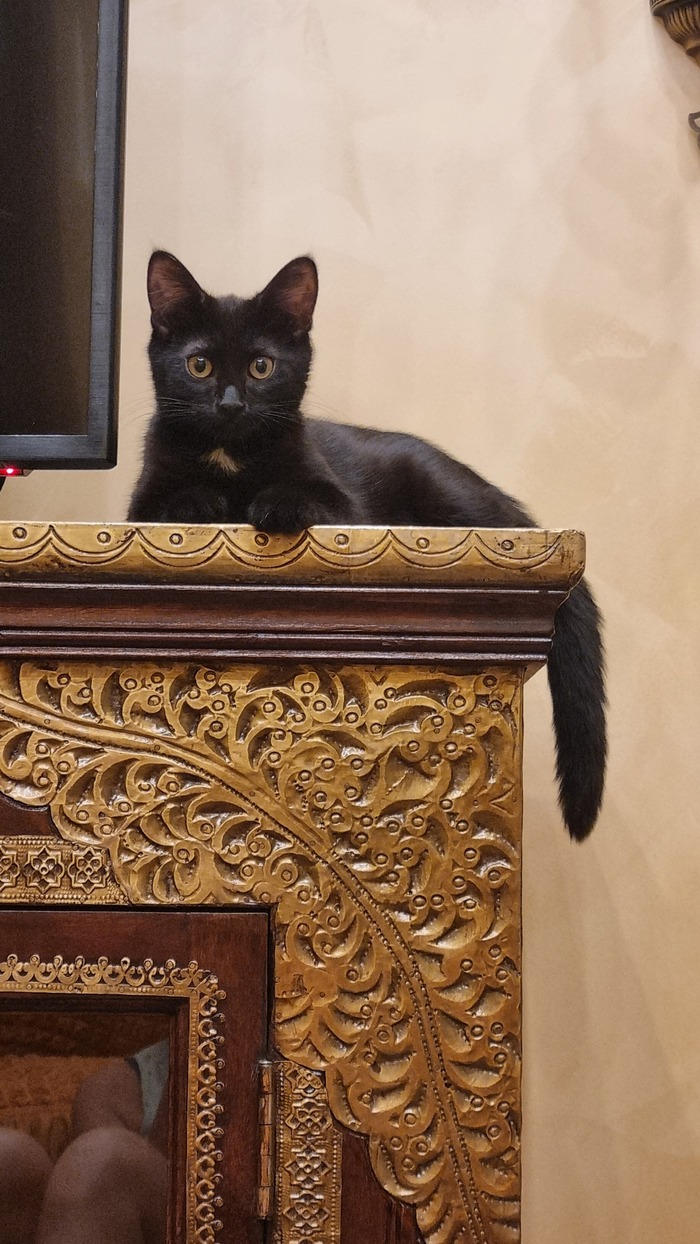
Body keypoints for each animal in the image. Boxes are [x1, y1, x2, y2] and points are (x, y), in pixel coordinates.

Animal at [129, 252, 606, 840]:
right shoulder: (141, 503)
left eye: (262, 367)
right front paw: (202, 501)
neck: (229, 456)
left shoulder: (347, 508)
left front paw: (275, 504)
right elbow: (171, 502)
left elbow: (306, 498)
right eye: (199, 366)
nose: (231, 403)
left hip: (447, 495)